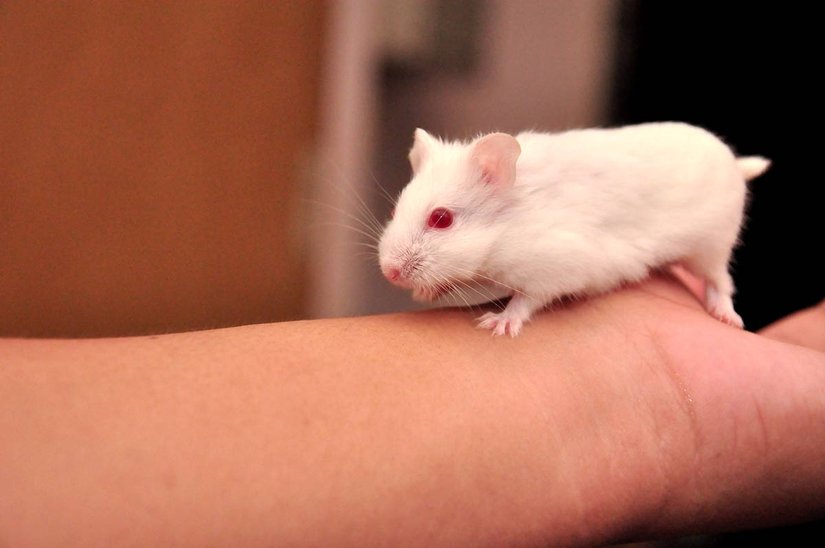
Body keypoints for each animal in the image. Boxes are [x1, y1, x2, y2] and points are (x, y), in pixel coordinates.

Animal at [378, 123, 770, 336]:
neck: (510, 224)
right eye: (395, 209)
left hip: (711, 246)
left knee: (722, 282)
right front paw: (424, 293)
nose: (389, 273)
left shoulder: (555, 268)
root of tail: (737, 164)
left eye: (441, 219)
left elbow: (526, 300)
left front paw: (498, 324)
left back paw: (726, 317)